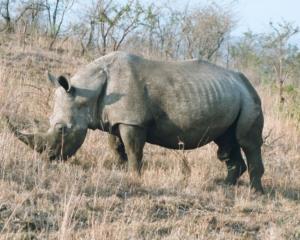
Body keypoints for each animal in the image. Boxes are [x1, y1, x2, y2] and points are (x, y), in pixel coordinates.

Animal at [7, 52, 264, 193]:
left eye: (62, 129)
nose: (49, 158)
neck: (88, 91)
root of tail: (245, 80)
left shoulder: (133, 121)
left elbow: (133, 149)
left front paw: (133, 176)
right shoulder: (114, 119)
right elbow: (115, 145)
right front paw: (120, 168)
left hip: (250, 96)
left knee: (247, 141)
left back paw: (255, 192)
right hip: (229, 95)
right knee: (226, 141)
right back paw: (225, 186)